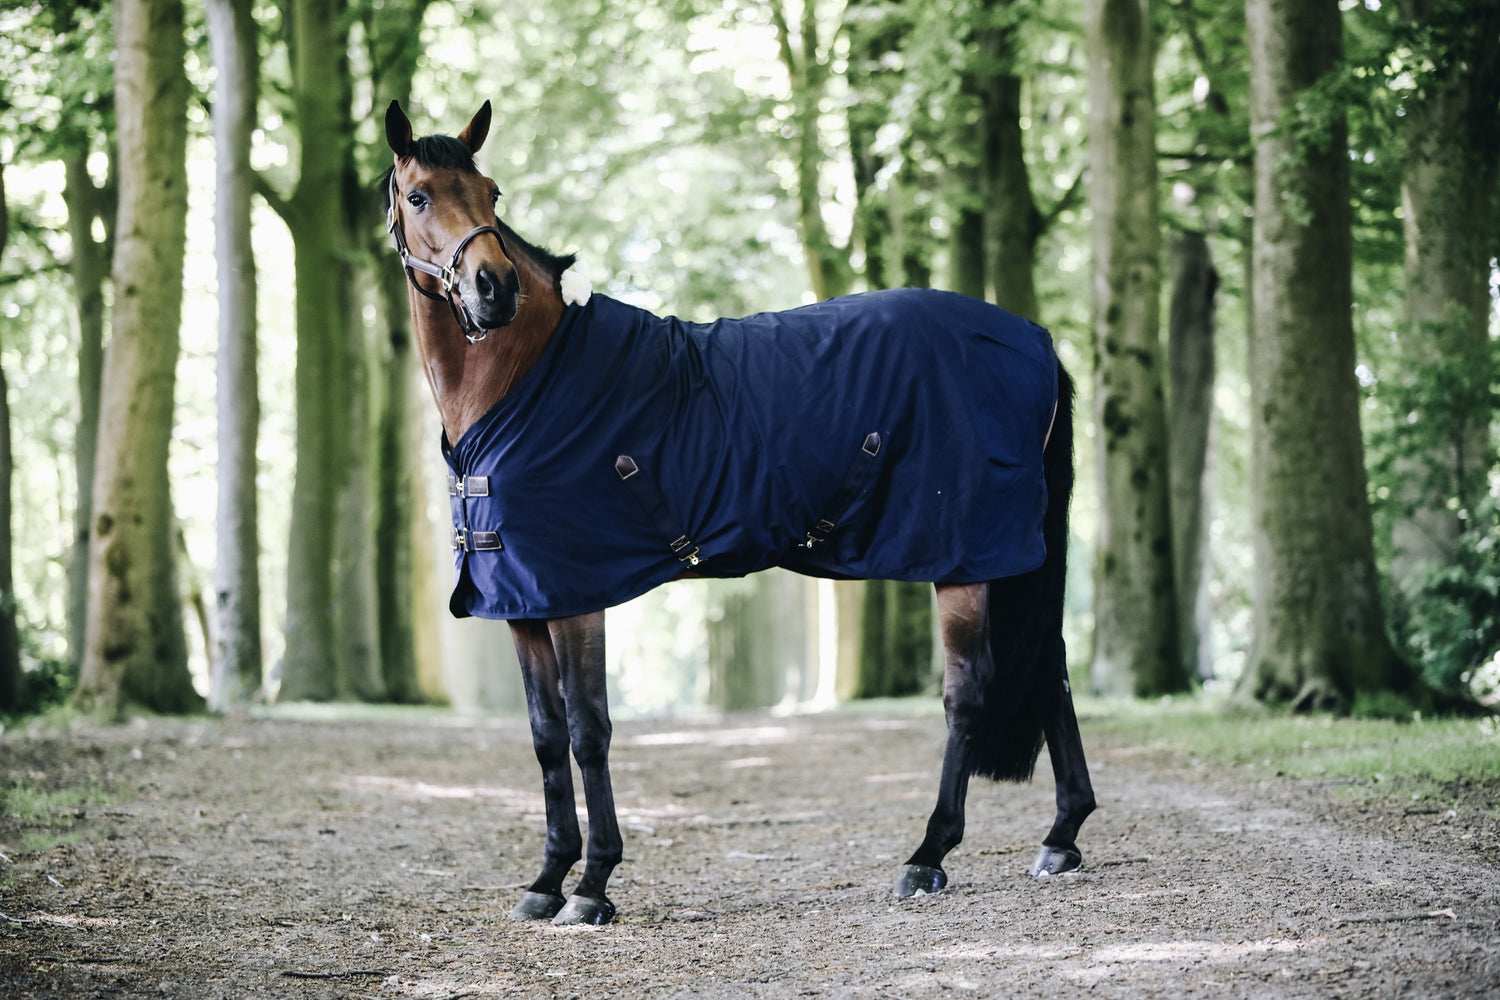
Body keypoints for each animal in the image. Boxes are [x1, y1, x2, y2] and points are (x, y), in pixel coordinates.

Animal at [381, 99, 1096, 926]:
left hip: (965, 559)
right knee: (1052, 668)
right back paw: (1062, 835)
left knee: (968, 693)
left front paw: (593, 884)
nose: (493, 288)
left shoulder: (575, 594)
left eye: (491, 193)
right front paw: (547, 877)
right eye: (420, 196)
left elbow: (589, 730)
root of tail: (1034, 340)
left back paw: (928, 854)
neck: (529, 376)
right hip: (1010, 555)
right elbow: (545, 735)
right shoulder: (523, 602)